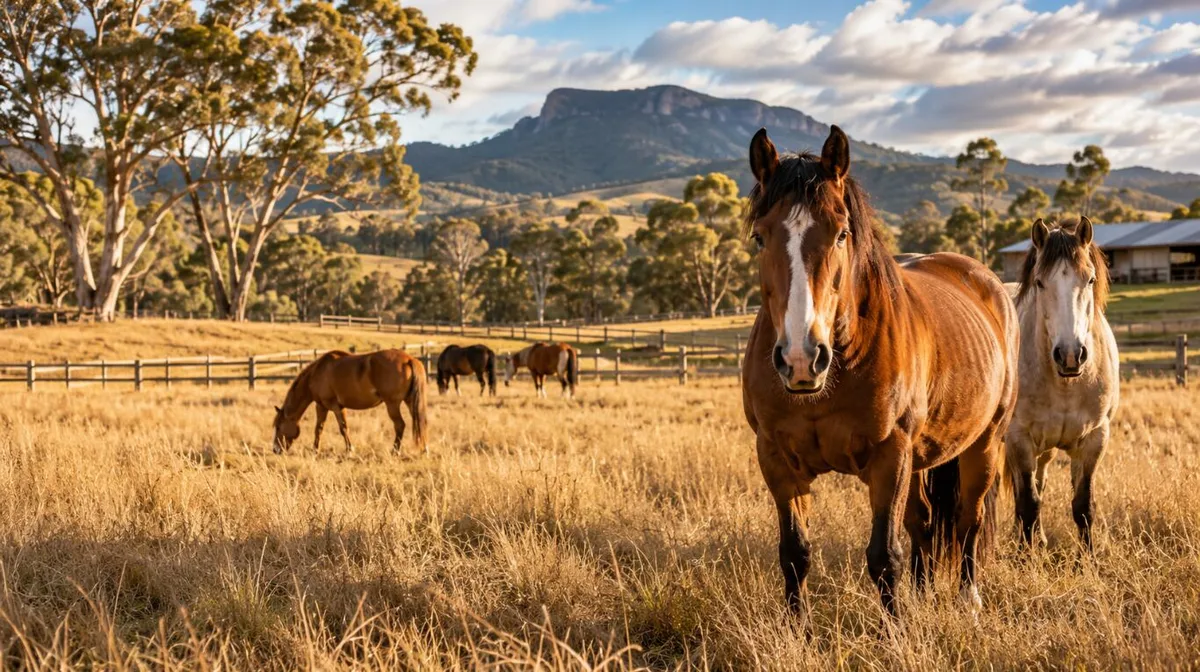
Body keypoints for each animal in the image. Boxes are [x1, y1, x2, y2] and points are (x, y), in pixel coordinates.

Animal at [272, 349, 427, 456]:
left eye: (278, 427)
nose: (275, 449)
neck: (317, 373)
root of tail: (409, 360)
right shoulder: (332, 407)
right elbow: (323, 428)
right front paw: (316, 449)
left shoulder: (329, 406)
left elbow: (337, 428)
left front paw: (348, 450)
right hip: (410, 401)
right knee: (421, 423)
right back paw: (424, 449)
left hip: (392, 404)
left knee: (400, 425)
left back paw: (395, 451)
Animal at [740, 126, 1019, 617]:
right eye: (760, 236)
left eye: (842, 234)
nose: (801, 358)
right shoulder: (776, 458)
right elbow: (794, 554)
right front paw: (797, 627)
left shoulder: (891, 456)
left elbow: (884, 556)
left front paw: (897, 628)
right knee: (924, 520)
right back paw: (924, 590)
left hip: (983, 443)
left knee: (969, 519)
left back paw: (968, 598)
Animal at [1006, 218, 1119, 551]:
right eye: (1040, 283)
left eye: (1090, 280)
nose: (1071, 355)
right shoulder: (1018, 439)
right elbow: (1028, 504)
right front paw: (1025, 556)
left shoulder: (1095, 438)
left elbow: (1083, 505)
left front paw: (1087, 557)